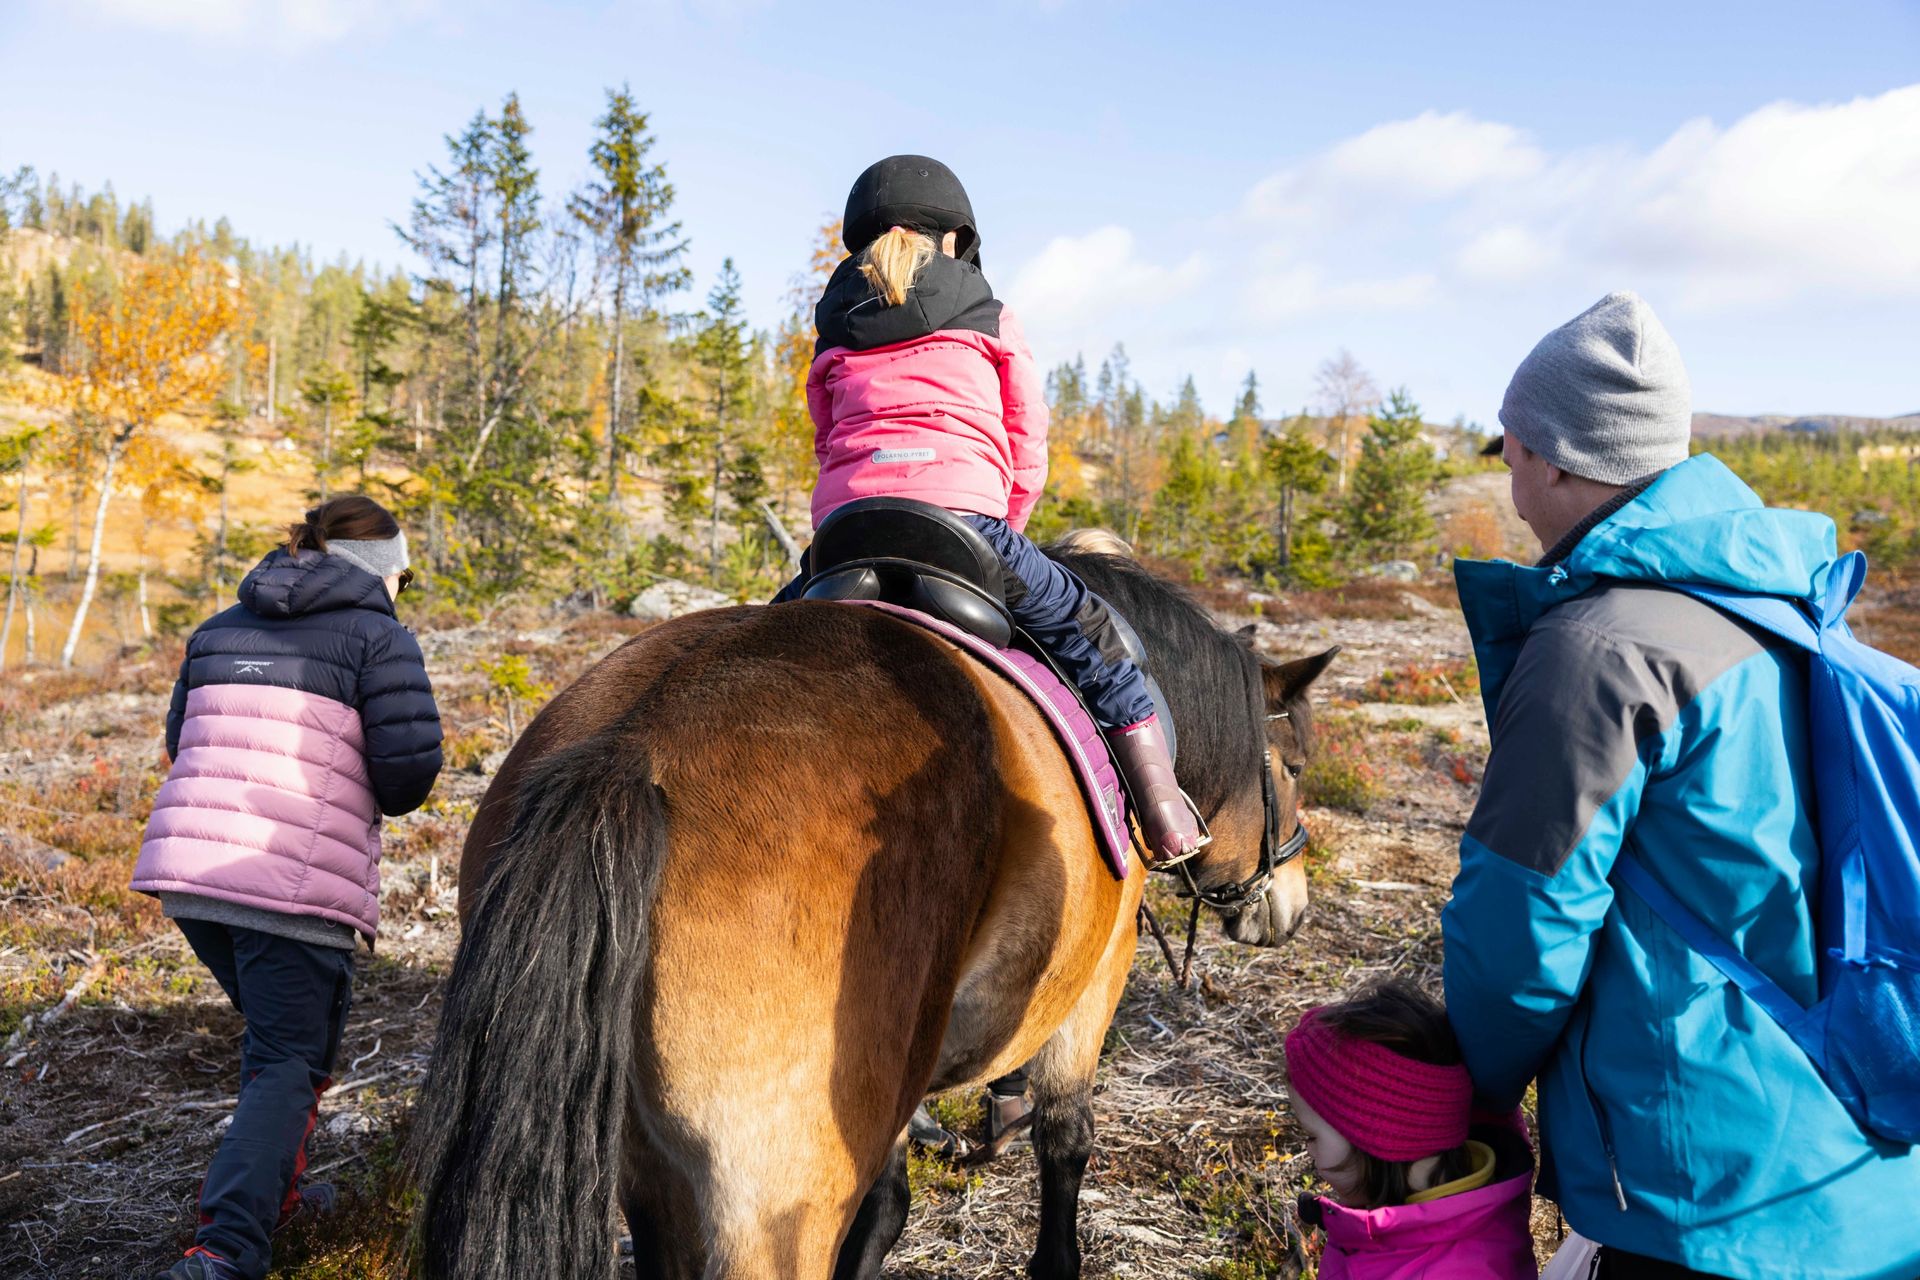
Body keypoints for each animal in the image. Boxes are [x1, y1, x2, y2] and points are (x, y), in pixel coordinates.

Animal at [405, 548, 1336, 1280]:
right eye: (1293, 764)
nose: (1289, 908)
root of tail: (634, 748)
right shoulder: (1093, 986)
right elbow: (1065, 1144)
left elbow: (887, 1207)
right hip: (774, 1205)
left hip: (655, 1166)